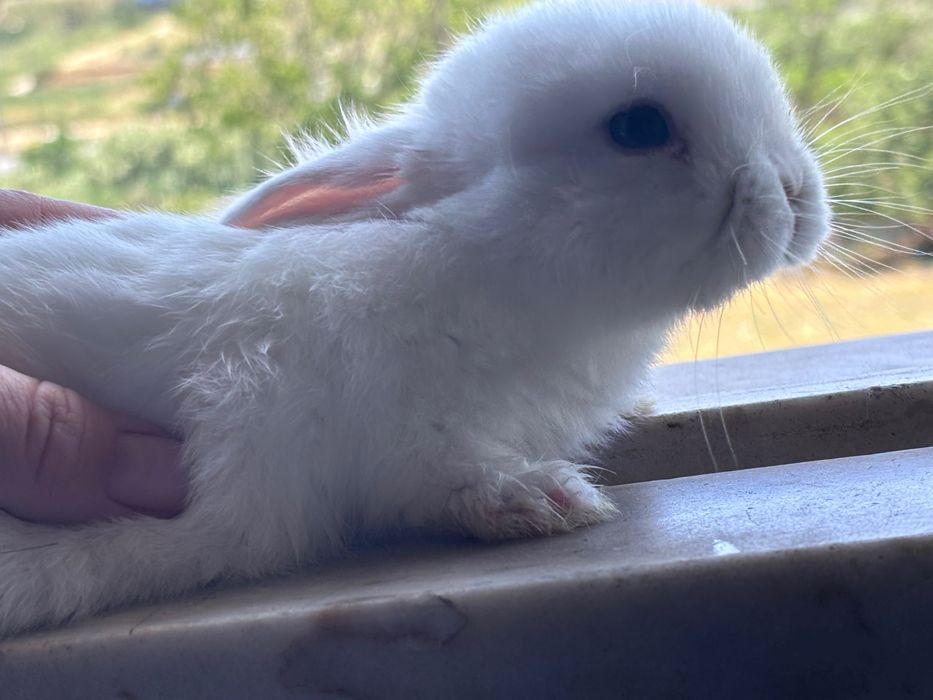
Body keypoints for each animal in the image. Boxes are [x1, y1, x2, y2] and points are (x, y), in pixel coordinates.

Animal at [0, 0, 830, 636]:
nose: (795, 192)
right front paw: (542, 499)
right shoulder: (396, 439)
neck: (487, 260)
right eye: (637, 128)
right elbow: (439, 483)